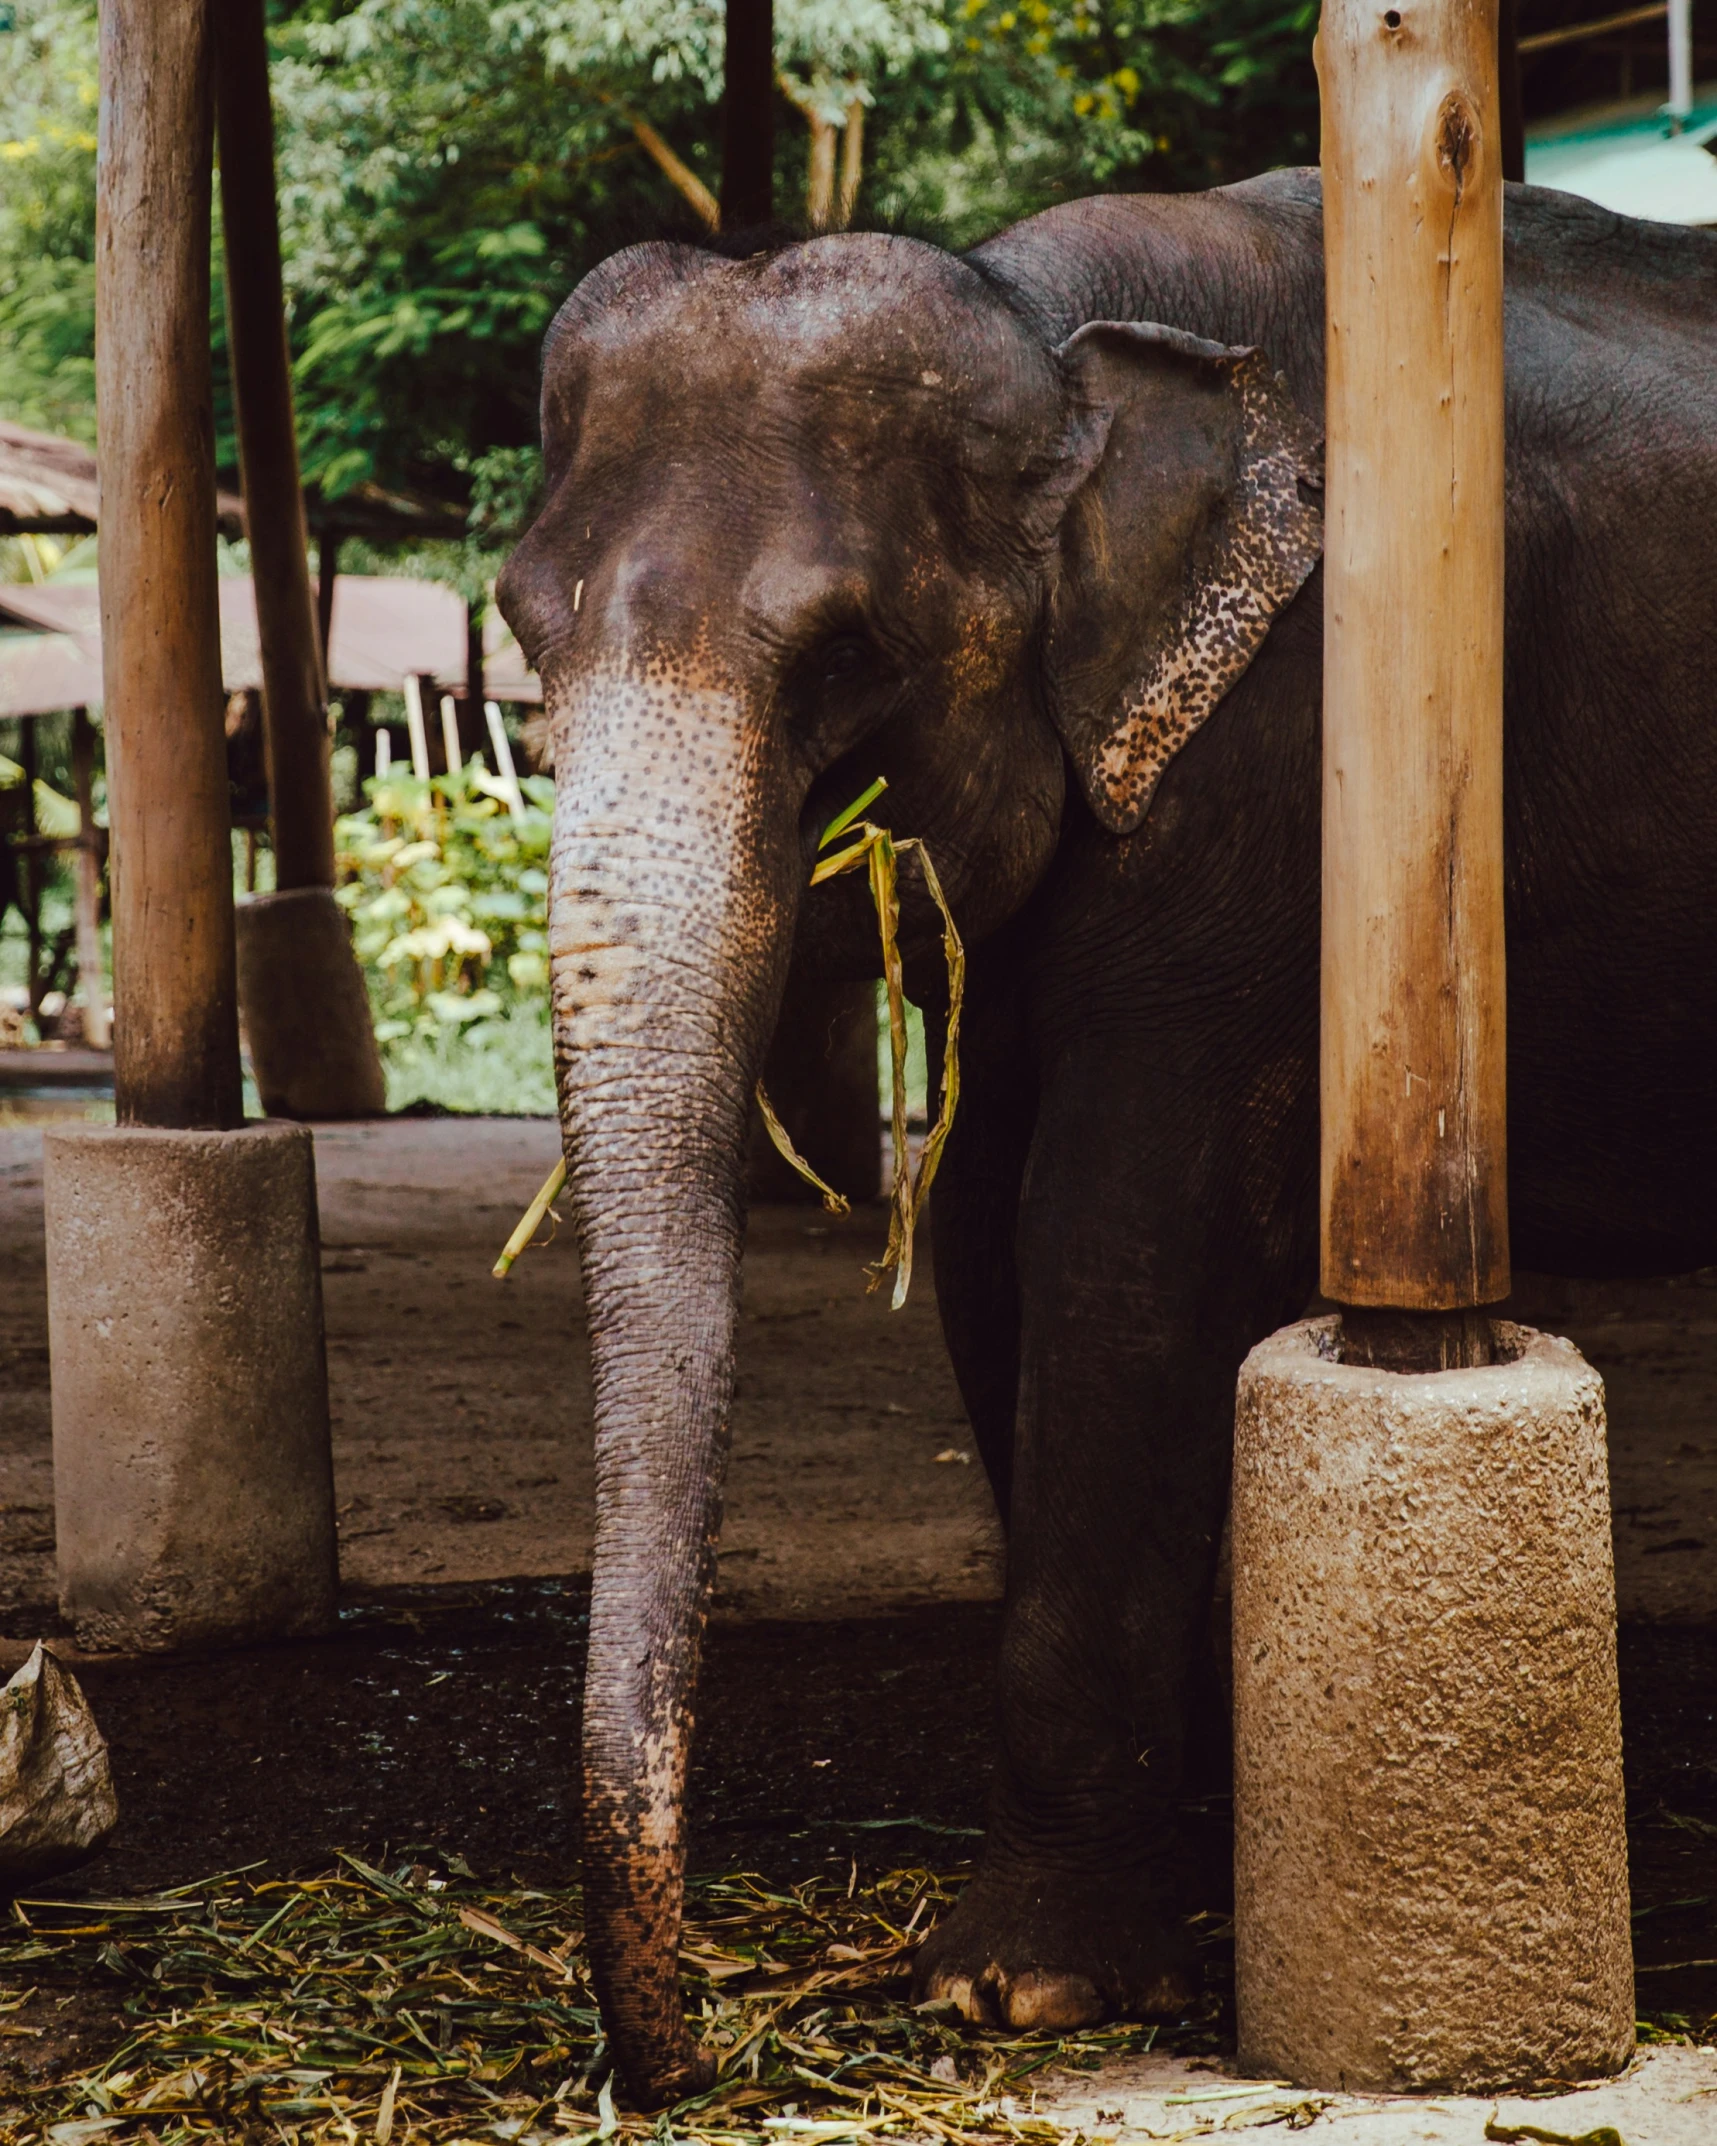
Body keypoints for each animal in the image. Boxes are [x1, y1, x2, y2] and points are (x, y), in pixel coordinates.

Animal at [495, 171, 1717, 2111]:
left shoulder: (1274, 777)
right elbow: (984, 1242)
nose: (666, 2062)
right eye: (521, 628)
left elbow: (1116, 1248)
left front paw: (1018, 1992)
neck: (1049, 327)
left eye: (845, 656)